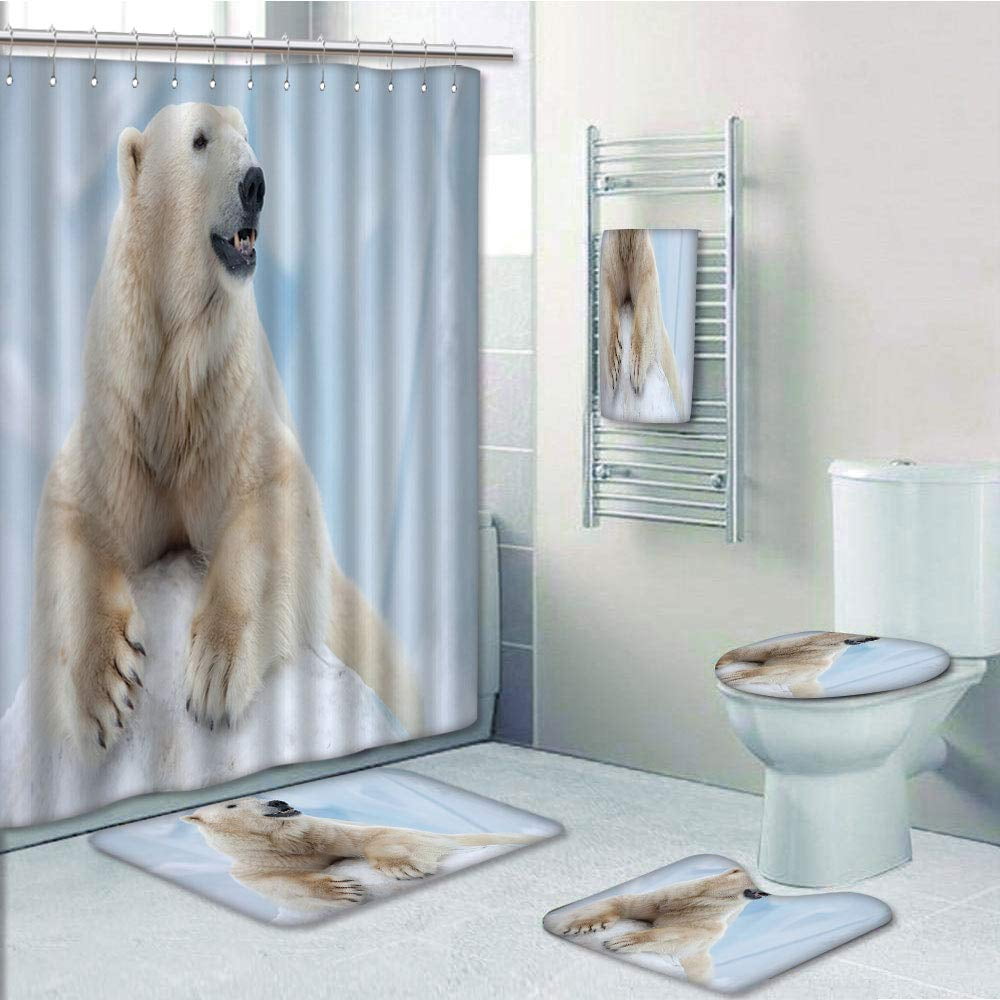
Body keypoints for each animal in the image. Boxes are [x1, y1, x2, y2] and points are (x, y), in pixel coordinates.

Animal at [29, 103, 422, 755]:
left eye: (246, 135)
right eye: (198, 140)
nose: (256, 183)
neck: (173, 379)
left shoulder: (226, 404)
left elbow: (273, 497)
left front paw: (213, 674)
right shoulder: (121, 416)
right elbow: (76, 516)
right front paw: (105, 690)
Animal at [182, 796, 540, 912]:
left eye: (262, 794)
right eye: (231, 805)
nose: (278, 801)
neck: (281, 842)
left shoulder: (320, 832)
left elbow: (374, 835)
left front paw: (402, 867)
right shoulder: (251, 866)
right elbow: (279, 886)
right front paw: (343, 889)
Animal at [548, 866, 769, 985]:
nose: (764, 893)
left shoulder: (709, 926)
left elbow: (680, 938)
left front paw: (621, 942)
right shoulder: (669, 899)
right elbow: (625, 902)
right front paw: (581, 926)